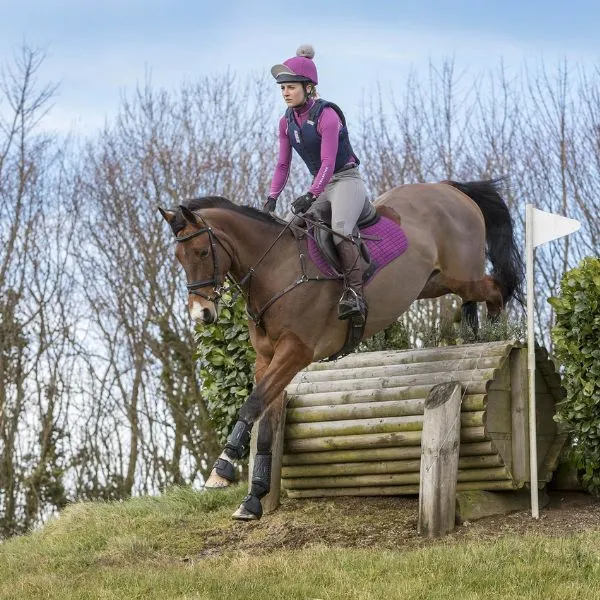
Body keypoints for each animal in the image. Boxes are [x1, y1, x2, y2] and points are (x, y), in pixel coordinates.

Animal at [159, 178, 524, 520]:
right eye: (177, 258)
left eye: (202, 252)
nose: (201, 314)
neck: (275, 269)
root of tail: (447, 188)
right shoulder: (267, 359)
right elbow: (266, 422)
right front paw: (253, 498)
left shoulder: (296, 351)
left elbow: (252, 404)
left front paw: (221, 469)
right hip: (434, 283)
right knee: (478, 296)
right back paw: (476, 336)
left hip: (461, 275)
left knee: (495, 289)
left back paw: (495, 336)